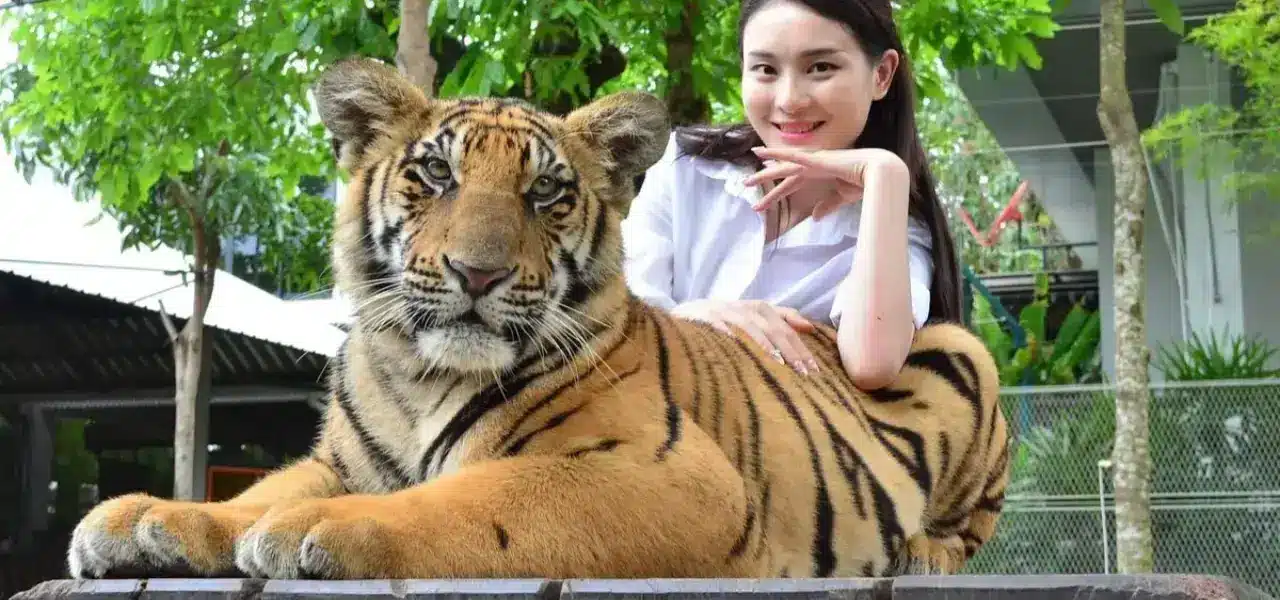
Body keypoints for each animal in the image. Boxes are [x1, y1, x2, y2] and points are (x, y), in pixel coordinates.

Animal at [65, 56, 1010, 581]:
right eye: (436, 176)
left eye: (546, 192)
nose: (475, 273)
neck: (420, 373)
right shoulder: (342, 458)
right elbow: (257, 490)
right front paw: (148, 520)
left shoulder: (667, 474)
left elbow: (467, 501)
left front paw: (316, 530)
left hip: (957, 346)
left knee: (972, 529)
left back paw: (922, 552)